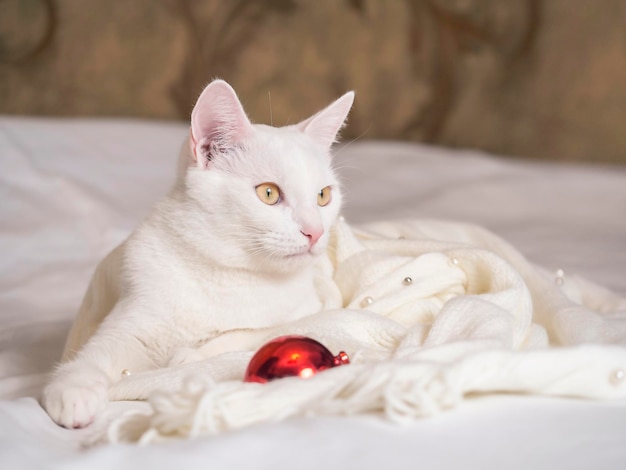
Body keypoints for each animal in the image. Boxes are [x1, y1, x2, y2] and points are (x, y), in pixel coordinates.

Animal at [41, 80, 354, 426]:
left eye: (323, 196)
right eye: (269, 193)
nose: (315, 232)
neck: (226, 272)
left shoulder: (312, 310)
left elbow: (246, 334)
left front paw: (190, 356)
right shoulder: (131, 322)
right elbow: (97, 353)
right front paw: (74, 388)